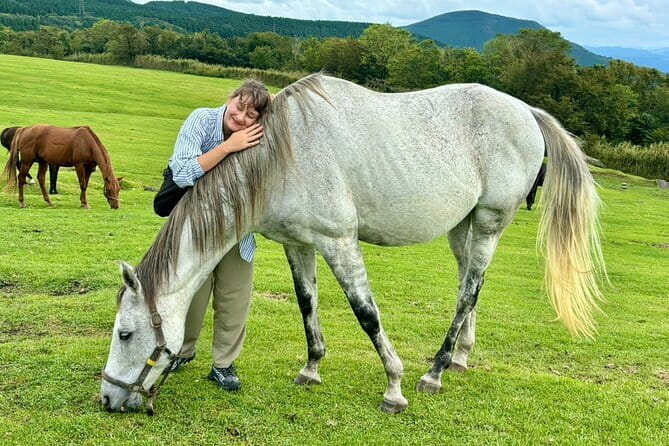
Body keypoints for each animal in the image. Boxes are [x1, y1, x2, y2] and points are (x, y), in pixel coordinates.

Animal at [101, 74, 605, 414]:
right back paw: (459, 358)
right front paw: (311, 369)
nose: (107, 398)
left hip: (488, 224)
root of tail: (526, 112)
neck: (284, 157)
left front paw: (394, 387)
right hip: (462, 228)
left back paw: (434, 372)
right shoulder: (298, 245)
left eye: (125, 333)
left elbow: (366, 314)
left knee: (468, 292)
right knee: (469, 284)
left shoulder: (339, 242)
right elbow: (307, 305)